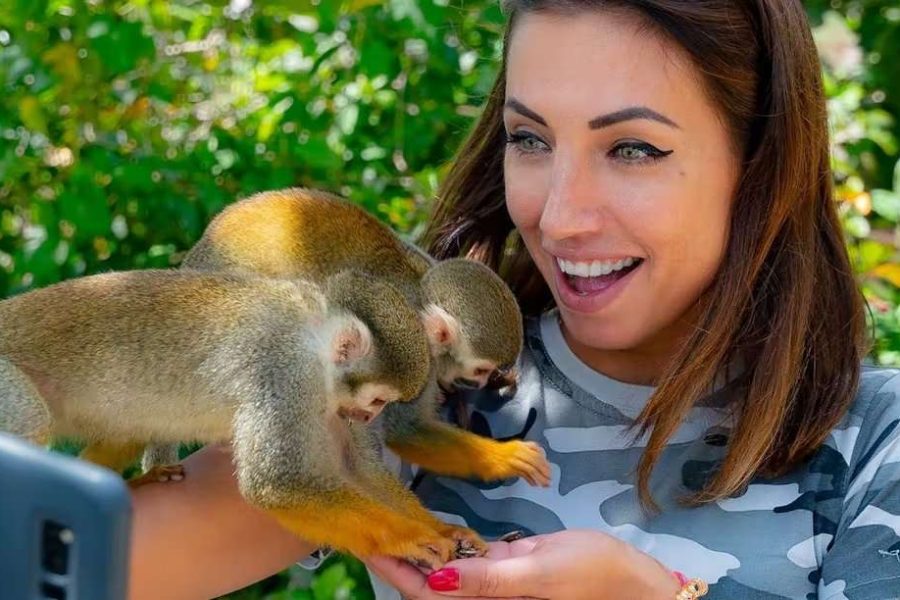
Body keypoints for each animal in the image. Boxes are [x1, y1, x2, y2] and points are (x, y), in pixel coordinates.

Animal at [0, 268, 482, 567]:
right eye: (380, 399)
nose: (366, 416)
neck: (315, 340)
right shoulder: (283, 372)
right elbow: (277, 483)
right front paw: (412, 539)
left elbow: (357, 469)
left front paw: (445, 531)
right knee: (32, 421)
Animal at [163, 187, 551, 493]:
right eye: (481, 368)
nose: (480, 383)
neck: (421, 298)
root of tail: (195, 257)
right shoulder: (412, 356)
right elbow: (405, 430)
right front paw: (505, 458)